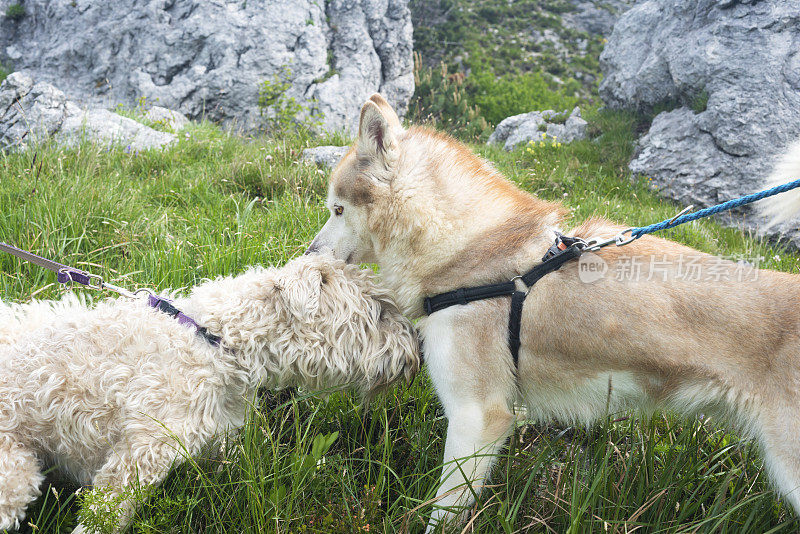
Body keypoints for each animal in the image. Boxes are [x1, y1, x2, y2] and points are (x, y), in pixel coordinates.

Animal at [0, 254, 422, 532]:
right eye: (379, 311)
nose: (418, 345)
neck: (216, 344)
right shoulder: (142, 453)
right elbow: (105, 516)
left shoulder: (221, 437)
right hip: (14, 470)